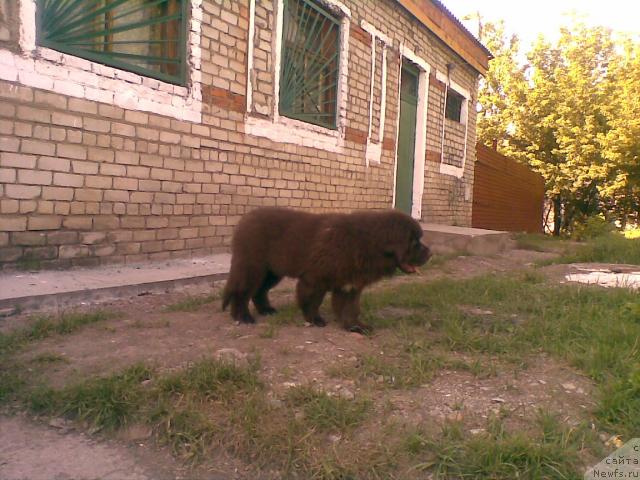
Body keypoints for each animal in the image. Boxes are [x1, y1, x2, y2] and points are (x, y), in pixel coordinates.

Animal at [221, 206, 430, 334]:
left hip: (272, 272)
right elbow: (312, 302)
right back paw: (243, 317)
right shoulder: (315, 280)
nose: (430, 252)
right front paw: (315, 320)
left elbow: (350, 308)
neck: (365, 243)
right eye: (414, 242)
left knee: (259, 291)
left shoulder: (349, 285)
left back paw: (267, 310)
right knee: (242, 292)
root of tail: (244, 220)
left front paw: (355, 327)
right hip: (253, 267)